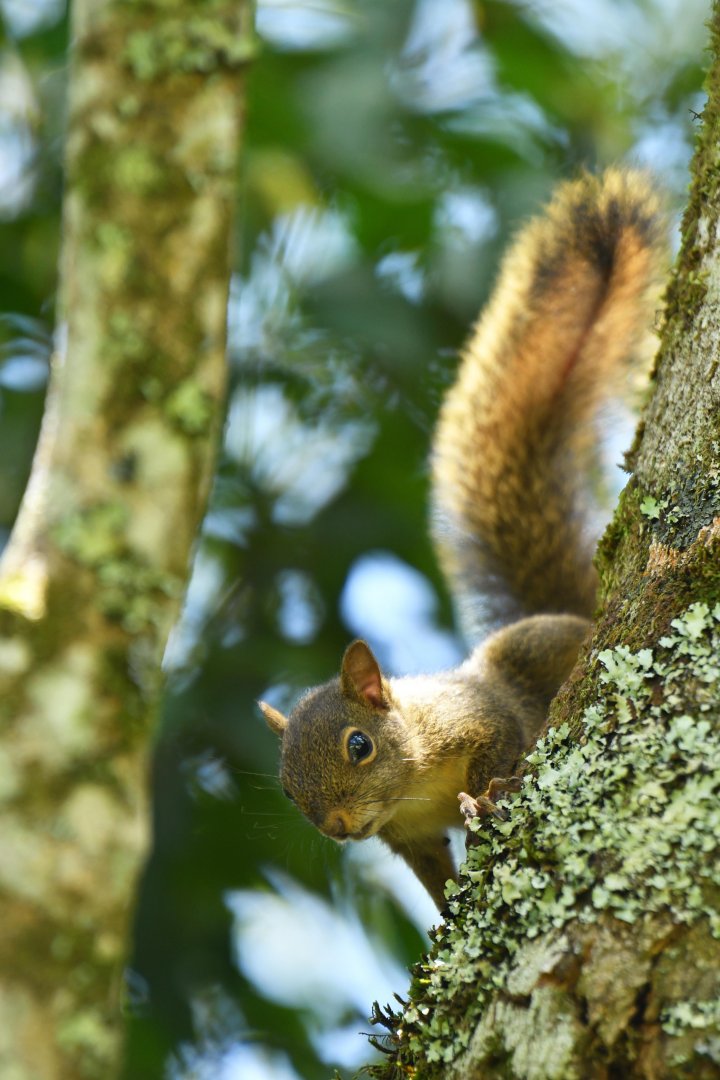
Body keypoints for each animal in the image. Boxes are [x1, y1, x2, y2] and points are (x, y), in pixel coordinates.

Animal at [260, 170, 665, 910]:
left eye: (358, 746)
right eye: (285, 788)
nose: (337, 828)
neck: (413, 782)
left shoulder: (478, 717)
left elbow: (499, 749)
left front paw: (485, 798)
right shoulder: (408, 837)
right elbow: (432, 877)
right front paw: (446, 916)